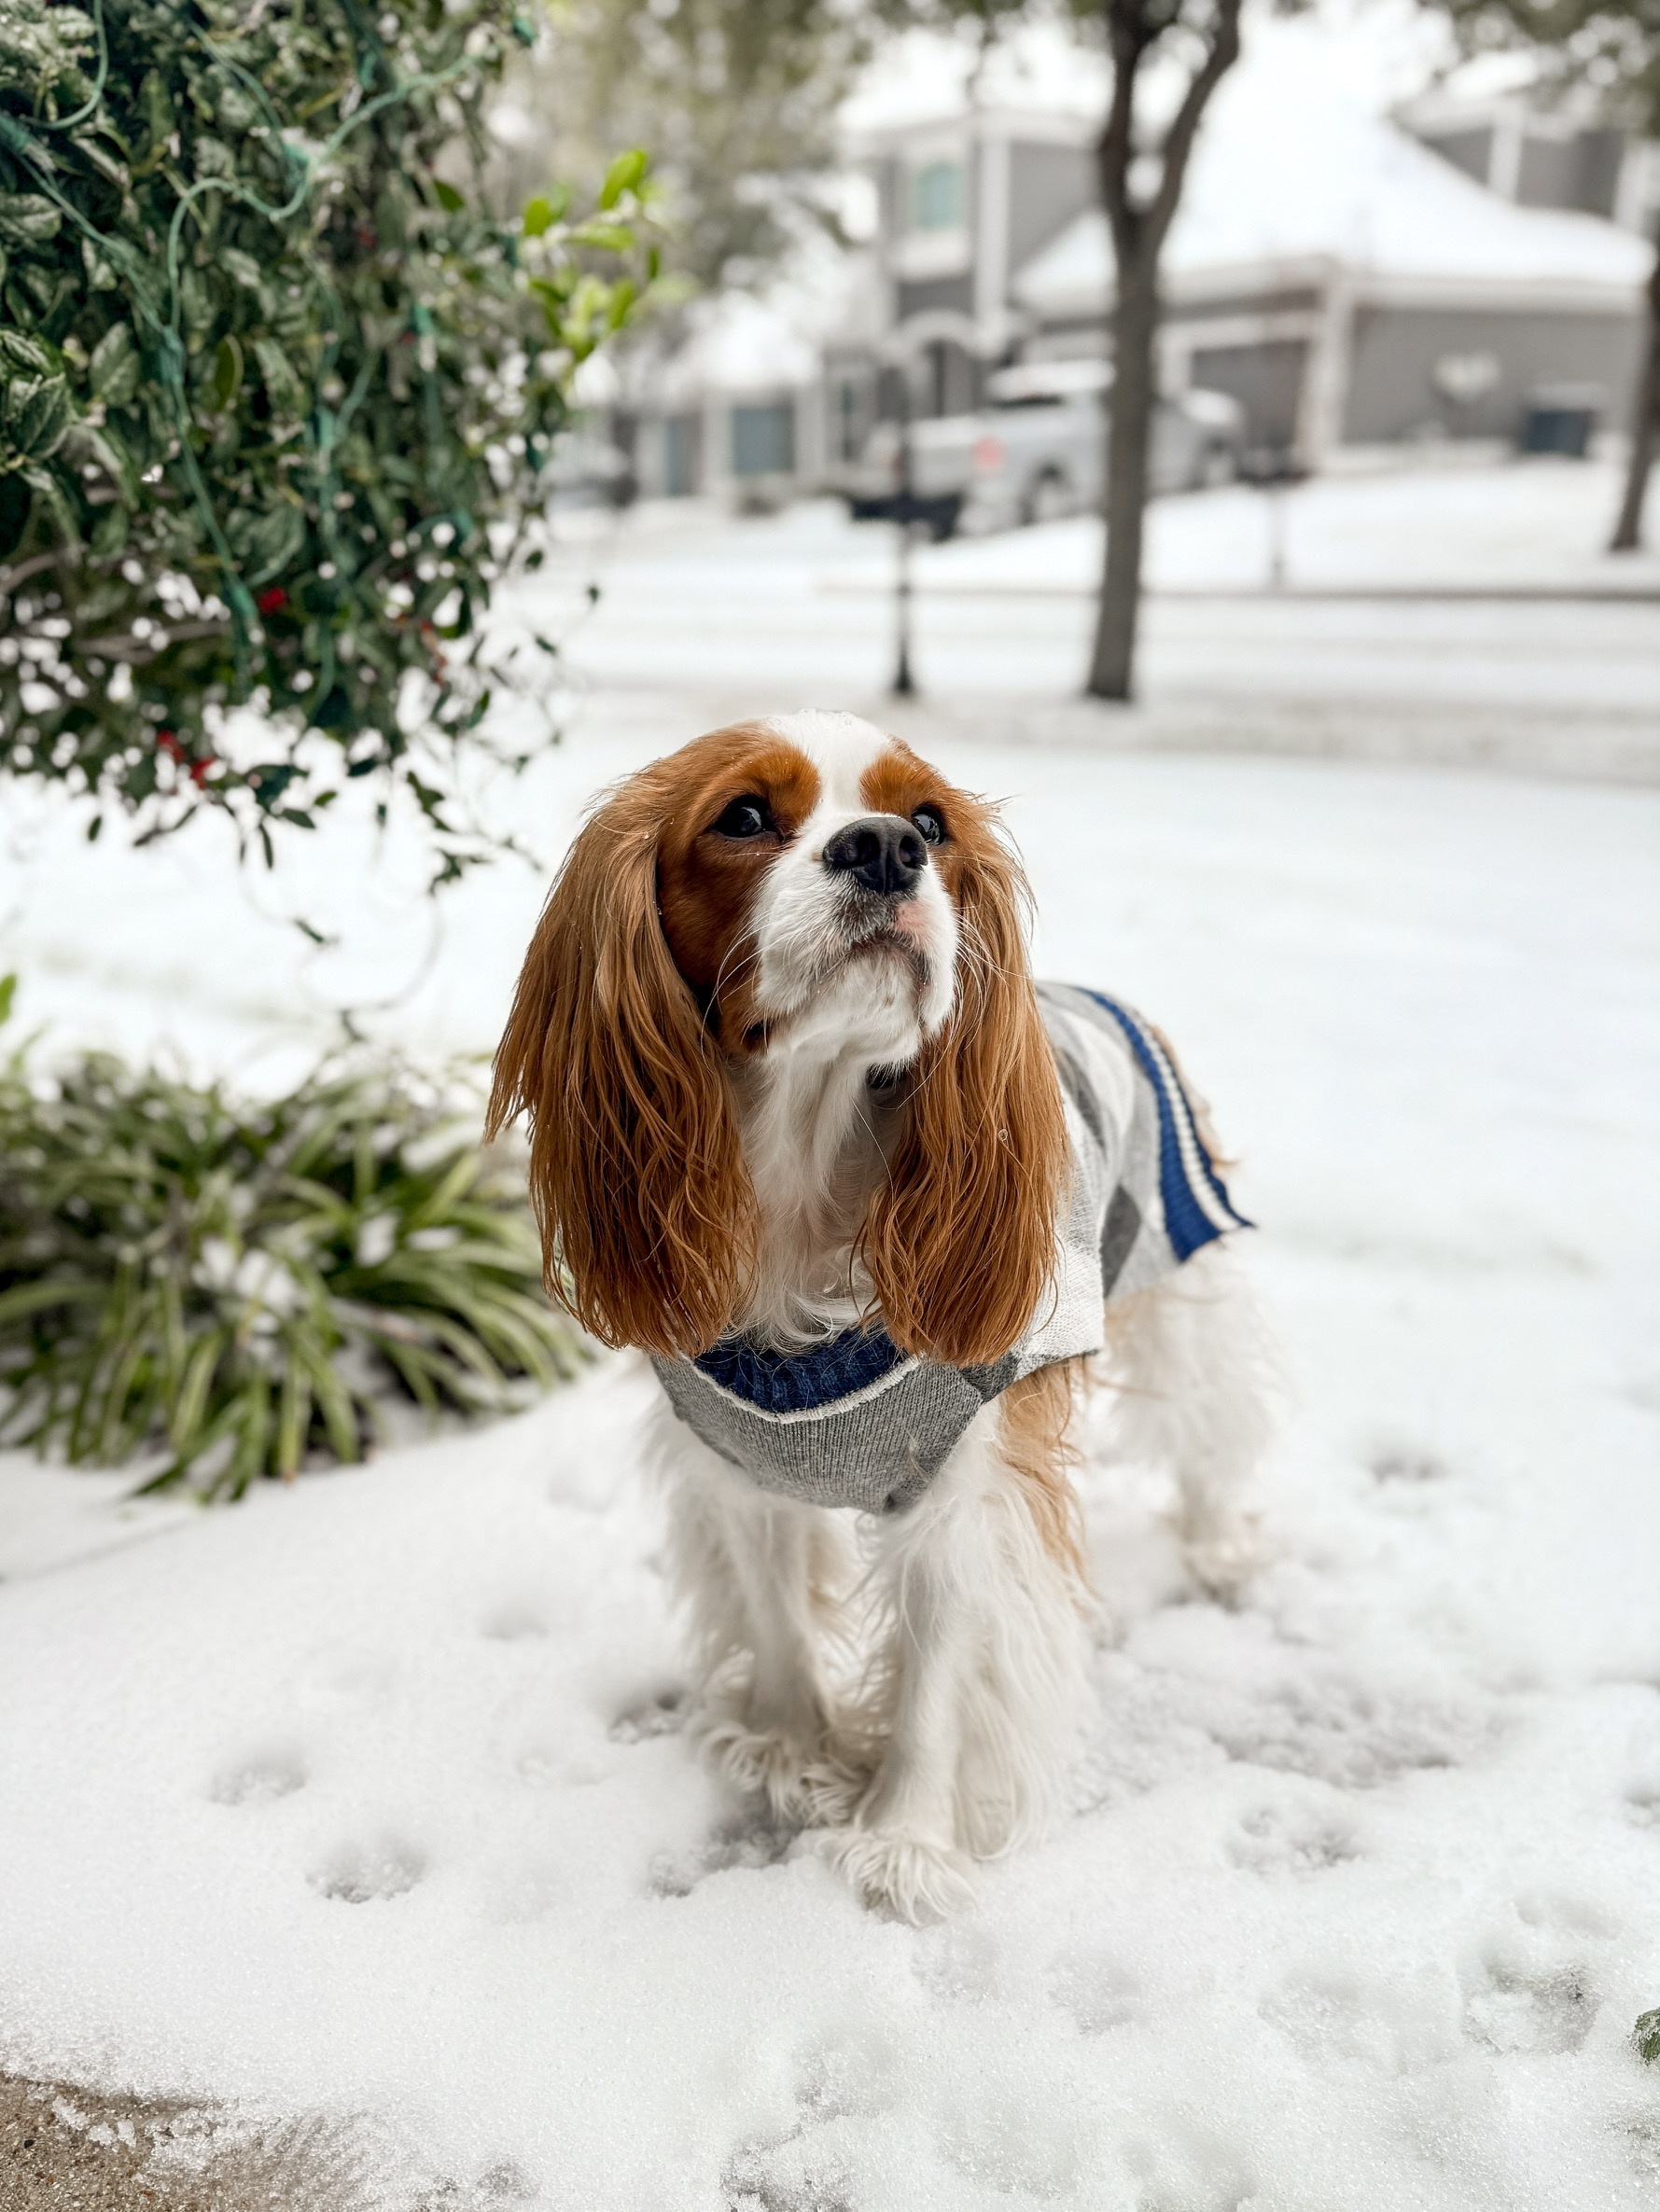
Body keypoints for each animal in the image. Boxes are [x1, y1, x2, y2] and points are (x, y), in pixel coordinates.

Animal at [491, 712, 1275, 1920]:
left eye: (929, 822)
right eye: (744, 816)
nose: (884, 849)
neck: (803, 1172)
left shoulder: (966, 1488)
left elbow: (939, 1677)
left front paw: (906, 1840)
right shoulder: (739, 1462)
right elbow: (774, 1611)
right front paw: (791, 1747)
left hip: (1182, 1280)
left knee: (1209, 1421)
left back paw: (1221, 1545)